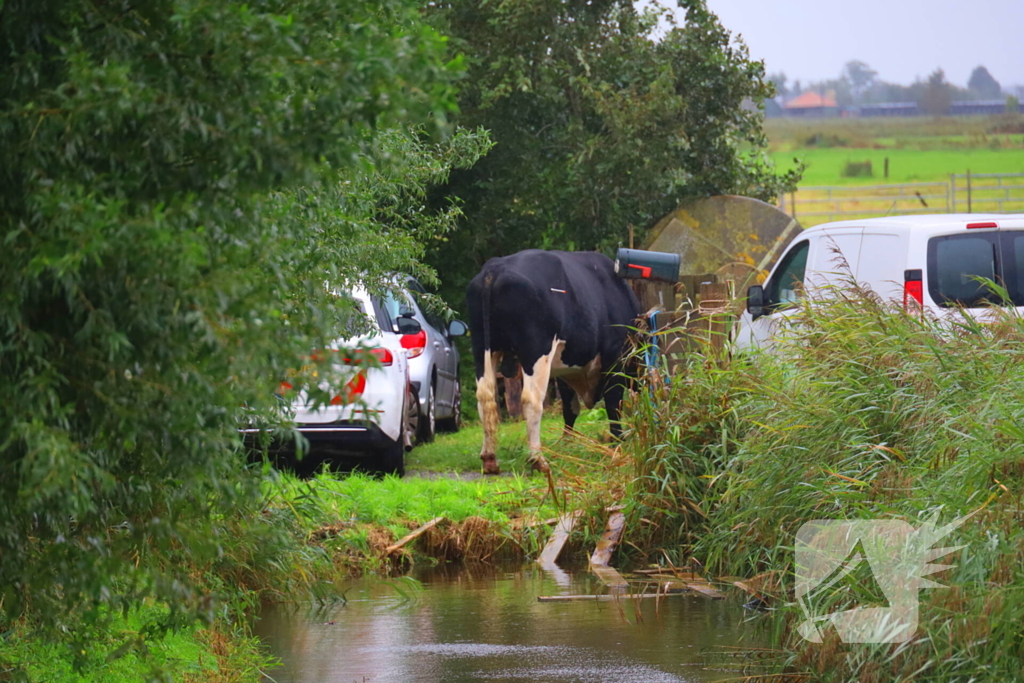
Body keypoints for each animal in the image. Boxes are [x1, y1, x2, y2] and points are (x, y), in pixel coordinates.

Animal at [466, 249, 638, 475]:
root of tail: (494, 269)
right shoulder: (615, 355)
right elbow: (613, 402)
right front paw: (617, 441)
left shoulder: (565, 370)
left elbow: (570, 407)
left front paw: (567, 443)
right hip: (536, 349)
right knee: (531, 399)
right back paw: (537, 459)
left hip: (483, 347)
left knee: (485, 396)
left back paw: (489, 459)